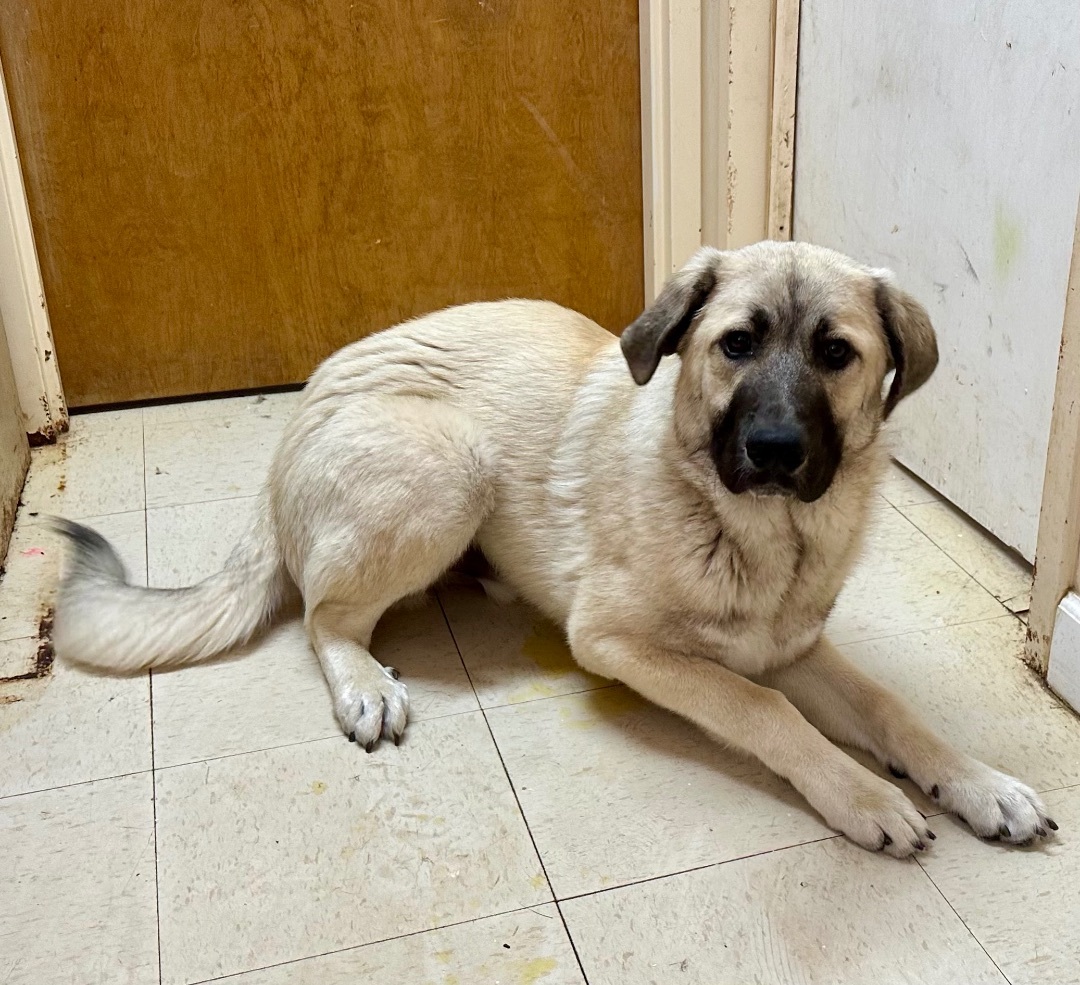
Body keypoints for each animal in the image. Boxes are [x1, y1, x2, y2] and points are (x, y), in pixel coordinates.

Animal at [50, 240, 1054, 855]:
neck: (762, 534)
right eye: (736, 344)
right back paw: (366, 681)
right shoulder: (619, 644)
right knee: (323, 616)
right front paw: (865, 795)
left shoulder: (795, 645)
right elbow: (765, 710)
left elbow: (892, 710)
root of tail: (299, 415)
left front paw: (978, 784)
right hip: (449, 469)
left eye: (835, 353)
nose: (773, 451)